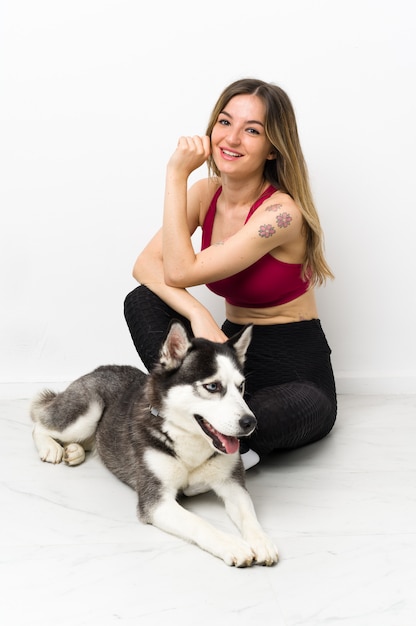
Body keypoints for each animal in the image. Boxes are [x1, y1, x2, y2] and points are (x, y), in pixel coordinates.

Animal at [30, 322, 278, 564]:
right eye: (213, 387)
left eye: (240, 386)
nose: (250, 422)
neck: (188, 440)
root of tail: (100, 368)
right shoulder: (156, 501)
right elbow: (199, 523)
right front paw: (232, 545)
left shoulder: (232, 485)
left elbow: (249, 515)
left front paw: (262, 541)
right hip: (88, 411)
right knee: (40, 424)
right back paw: (51, 447)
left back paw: (74, 451)